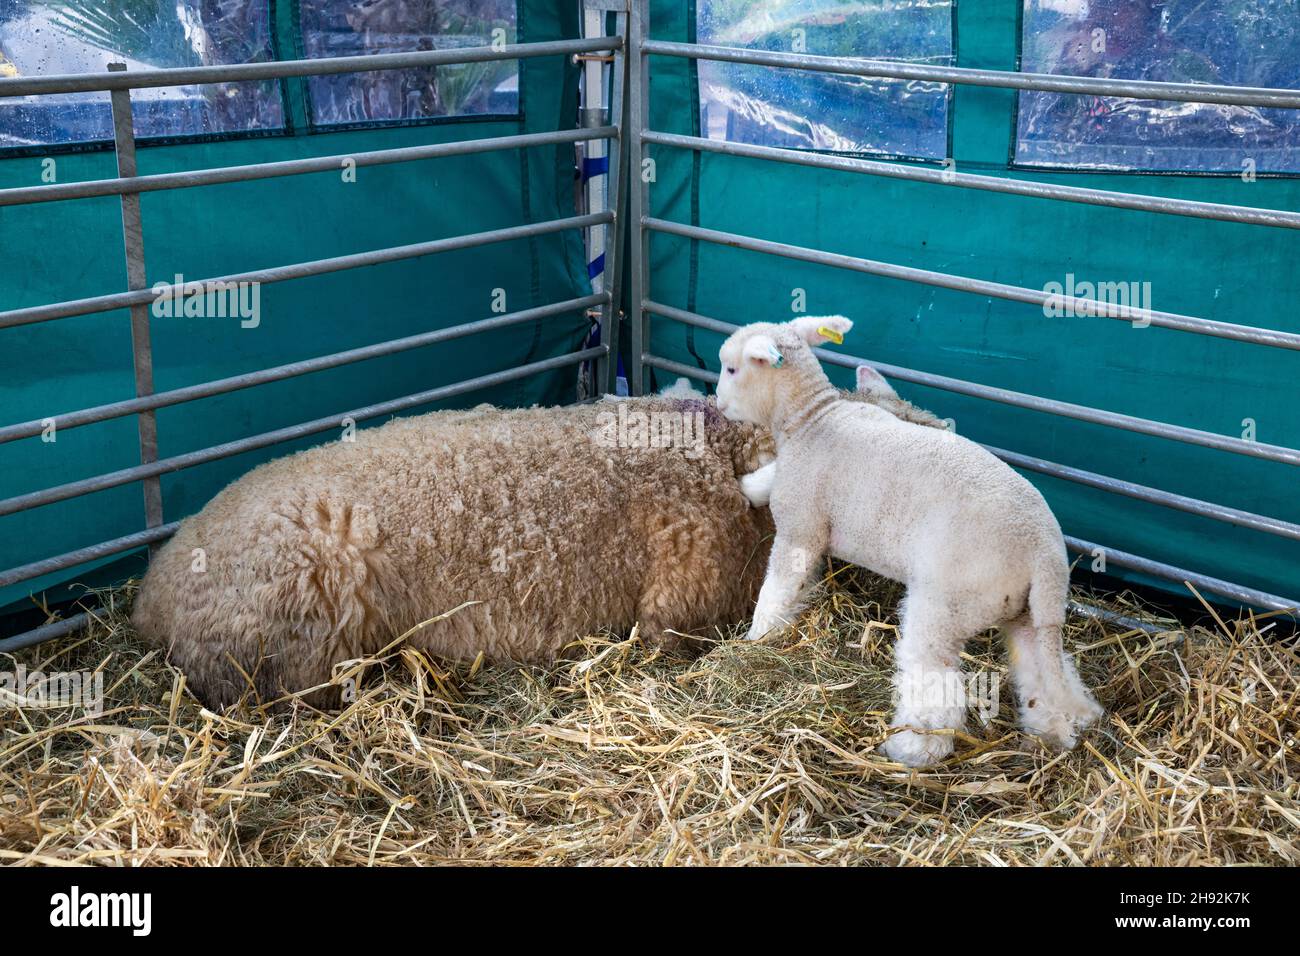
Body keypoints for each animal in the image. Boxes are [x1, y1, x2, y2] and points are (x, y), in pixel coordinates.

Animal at [715, 315, 1104, 767]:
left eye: (731, 369)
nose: (718, 401)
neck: (812, 418)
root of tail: (1044, 554)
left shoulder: (801, 525)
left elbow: (777, 589)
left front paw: (756, 637)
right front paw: (748, 486)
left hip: (948, 603)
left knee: (934, 680)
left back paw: (912, 748)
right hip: (1029, 613)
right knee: (1041, 672)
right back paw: (1053, 733)